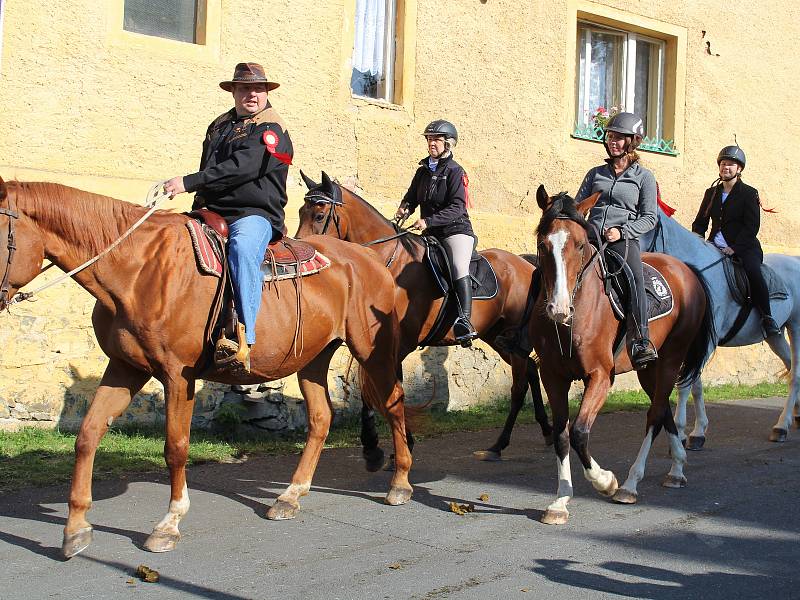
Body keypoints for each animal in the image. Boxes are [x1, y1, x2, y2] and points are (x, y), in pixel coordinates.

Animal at [0, 177, 412, 556]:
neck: (138, 268)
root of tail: (370, 260)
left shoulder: (177, 374)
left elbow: (176, 446)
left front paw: (169, 524)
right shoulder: (124, 368)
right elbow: (87, 435)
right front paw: (76, 528)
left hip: (373, 351)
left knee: (393, 403)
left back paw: (400, 483)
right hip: (312, 358)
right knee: (321, 418)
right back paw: (289, 496)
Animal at [296, 171, 552, 462]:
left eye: (319, 215)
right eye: (301, 211)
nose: (302, 254)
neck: (387, 264)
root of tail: (526, 264)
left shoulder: (397, 344)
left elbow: (387, 390)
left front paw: (378, 445)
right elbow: (384, 390)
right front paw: (397, 444)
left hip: (510, 337)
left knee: (519, 387)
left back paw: (500, 444)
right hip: (497, 337)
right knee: (530, 370)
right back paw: (542, 432)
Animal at [532, 186, 712, 524]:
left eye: (579, 245)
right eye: (543, 244)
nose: (558, 309)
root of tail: (686, 270)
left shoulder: (601, 376)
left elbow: (579, 432)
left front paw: (605, 481)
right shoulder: (552, 376)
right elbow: (562, 434)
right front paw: (560, 501)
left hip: (671, 359)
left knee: (655, 414)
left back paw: (629, 484)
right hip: (648, 369)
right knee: (662, 409)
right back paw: (676, 469)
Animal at [640, 206, 800, 446]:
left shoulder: (705, 342)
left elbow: (686, 384)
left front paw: (683, 431)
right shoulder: (695, 341)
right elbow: (695, 384)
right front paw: (698, 431)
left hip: (796, 327)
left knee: (796, 374)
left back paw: (781, 426)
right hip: (776, 336)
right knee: (791, 367)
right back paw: (795, 416)